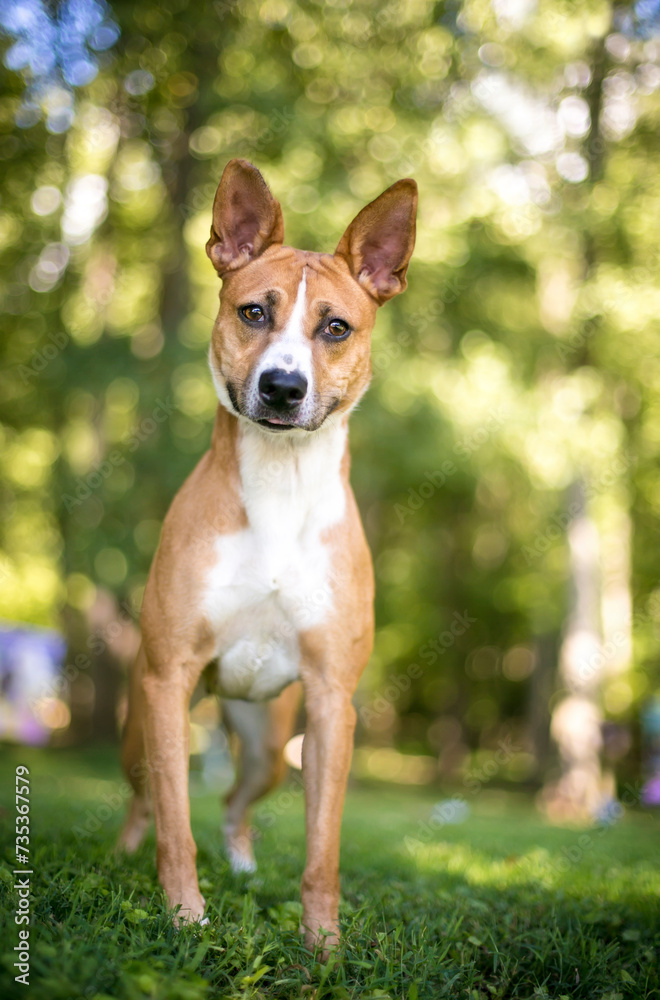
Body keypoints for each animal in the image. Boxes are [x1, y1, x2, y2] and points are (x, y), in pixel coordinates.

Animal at [117, 158, 418, 952]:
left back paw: (246, 868)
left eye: (335, 327)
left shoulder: (331, 701)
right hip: (144, 723)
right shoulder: (167, 679)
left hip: (267, 746)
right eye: (254, 312)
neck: (281, 486)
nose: (283, 386)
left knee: (235, 802)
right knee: (145, 801)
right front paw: (184, 916)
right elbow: (175, 826)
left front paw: (323, 946)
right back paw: (126, 855)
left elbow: (322, 849)